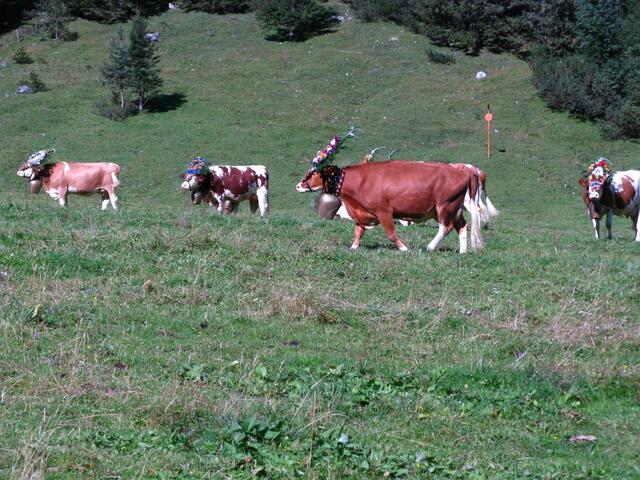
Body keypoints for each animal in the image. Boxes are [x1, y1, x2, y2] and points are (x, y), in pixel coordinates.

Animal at [296, 160, 484, 253]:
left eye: (313, 174)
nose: (298, 186)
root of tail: (464, 170)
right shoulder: (364, 211)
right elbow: (358, 231)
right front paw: (353, 247)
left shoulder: (384, 211)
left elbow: (391, 234)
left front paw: (403, 248)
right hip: (456, 209)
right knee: (462, 227)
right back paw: (462, 252)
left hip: (445, 207)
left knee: (446, 228)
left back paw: (430, 247)